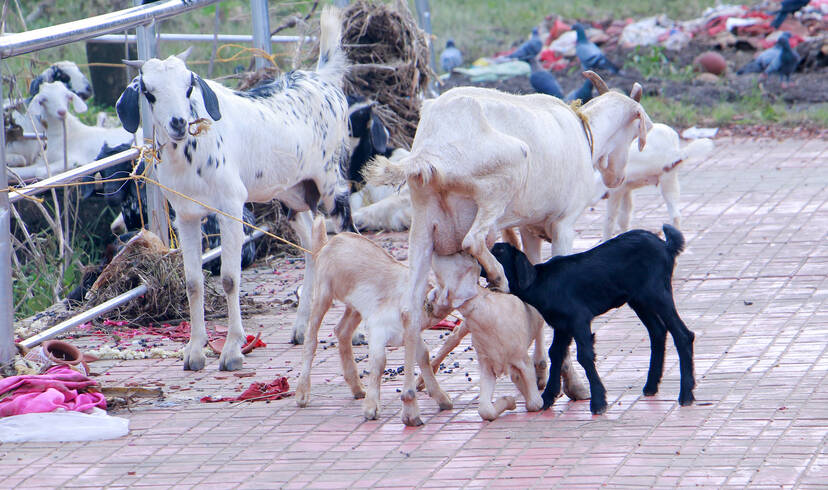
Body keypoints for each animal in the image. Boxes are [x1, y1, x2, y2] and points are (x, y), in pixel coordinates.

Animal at [8, 82, 136, 182]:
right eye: (44, 99)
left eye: (67, 96)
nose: (61, 112)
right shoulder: (44, 161)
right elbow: (20, 172)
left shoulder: (72, 158)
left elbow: (40, 172)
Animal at [114, 6, 352, 372]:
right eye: (149, 92)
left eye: (188, 87)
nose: (179, 123)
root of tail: (323, 79)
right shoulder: (185, 215)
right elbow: (193, 282)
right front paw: (195, 352)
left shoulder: (230, 206)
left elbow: (228, 278)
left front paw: (231, 351)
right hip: (293, 193)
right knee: (313, 244)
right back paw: (302, 328)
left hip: (330, 184)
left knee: (350, 228)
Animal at [426, 253, 588, 422]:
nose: (426, 304)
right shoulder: (487, 367)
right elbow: (485, 410)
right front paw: (508, 401)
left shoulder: (524, 362)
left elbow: (535, 403)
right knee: (454, 338)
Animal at [488, 224, 696, 416]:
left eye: (499, 252)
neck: (541, 282)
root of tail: (666, 246)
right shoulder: (562, 325)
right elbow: (556, 353)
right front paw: (547, 398)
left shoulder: (578, 318)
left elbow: (585, 355)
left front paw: (598, 402)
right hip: (638, 299)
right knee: (658, 331)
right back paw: (651, 386)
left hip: (657, 291)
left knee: (683, 335)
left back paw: (686, 394)